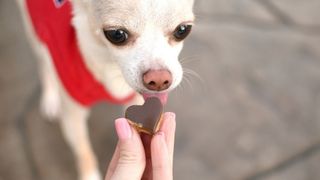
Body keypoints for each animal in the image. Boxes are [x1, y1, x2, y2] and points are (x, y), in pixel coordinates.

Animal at [17, 0, 194, 179]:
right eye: (116, 35)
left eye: (182, 30)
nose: (159, 80)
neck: (109, 66)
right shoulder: (73, 117)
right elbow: (83, 150)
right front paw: (90, 176)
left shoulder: (135, 100)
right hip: (35, 34)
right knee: (44, 65)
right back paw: (51, 98)